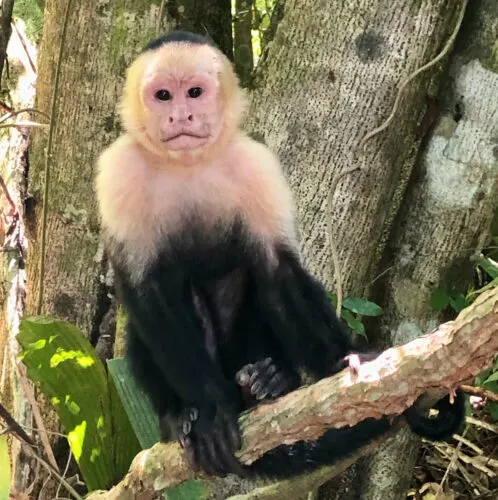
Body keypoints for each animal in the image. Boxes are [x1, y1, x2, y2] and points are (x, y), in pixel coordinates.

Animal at [95, 30, 464, 476]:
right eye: (163, 95)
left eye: (194, 92)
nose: (181, 116)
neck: (188, 164)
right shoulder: (118, 172)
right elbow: (147, 290)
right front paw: (210, 410)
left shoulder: (257, 165)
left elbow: (276, 270)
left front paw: (347, 361)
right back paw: (179, 415)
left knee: (255, 281)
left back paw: (272, 380)